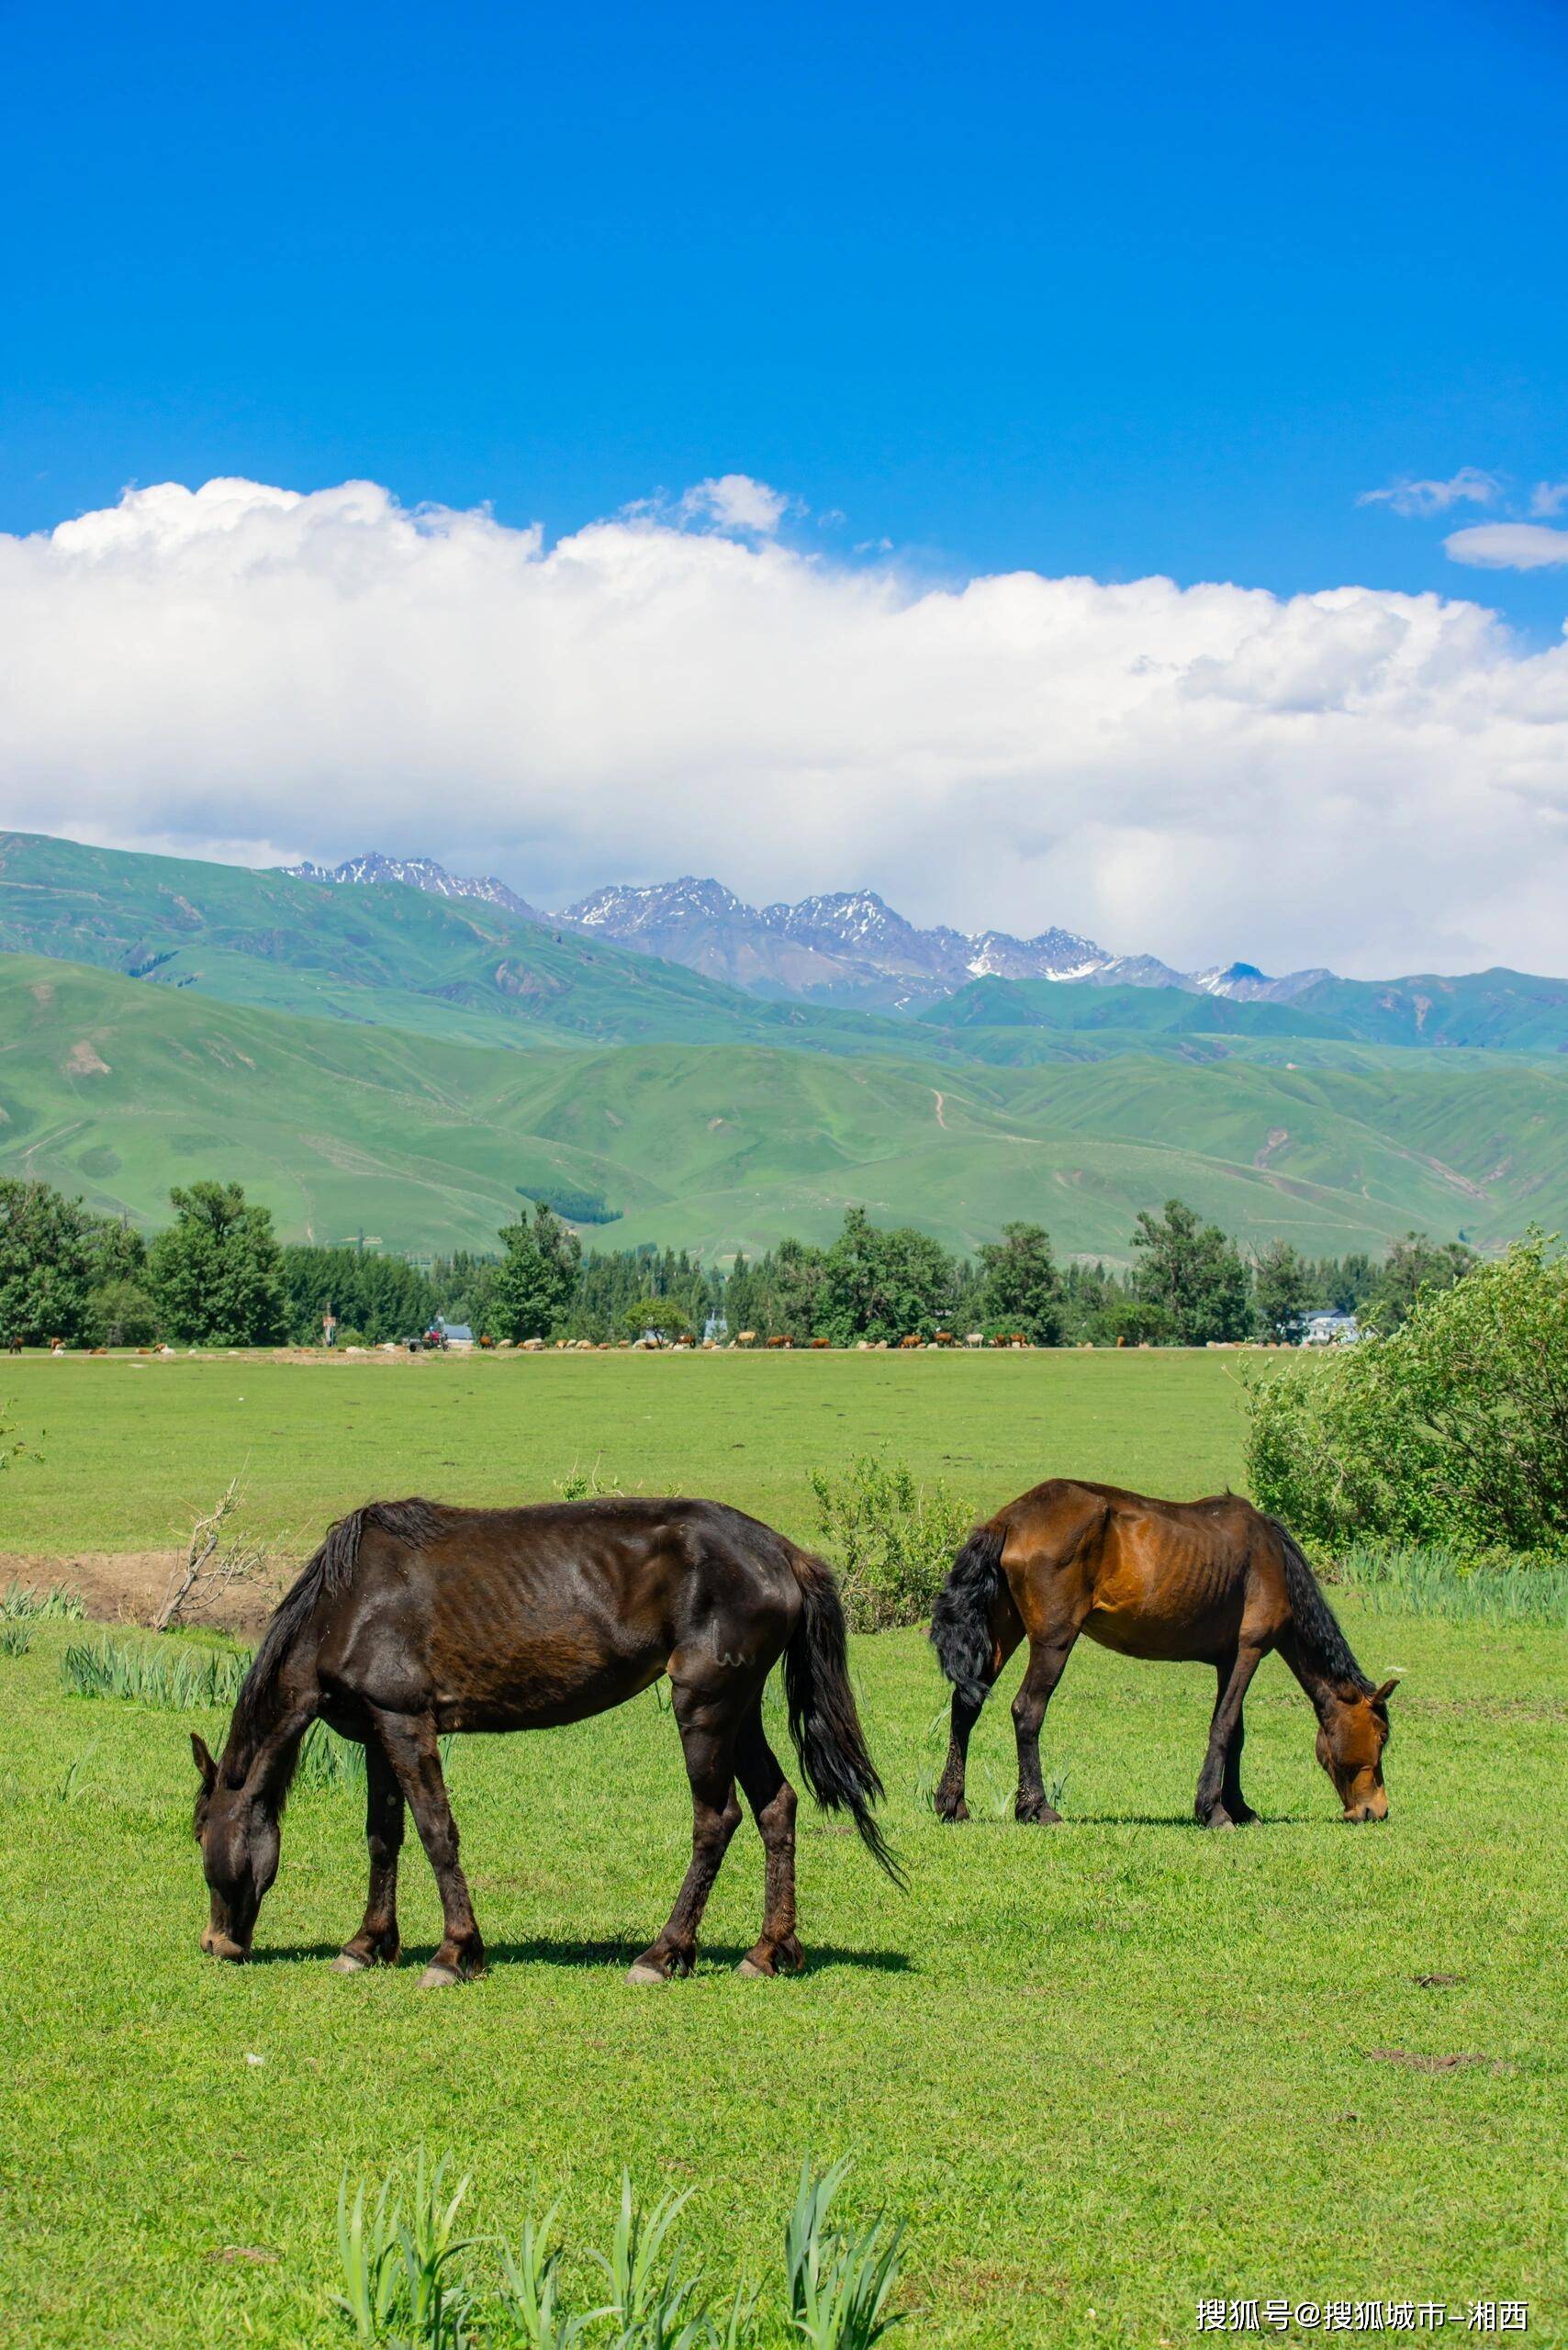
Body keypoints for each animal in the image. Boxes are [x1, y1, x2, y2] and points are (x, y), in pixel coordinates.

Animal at [187, 1484, 893, 1983]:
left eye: (199, 1834)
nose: (216, 1944)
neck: (350, 1601)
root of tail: (783, 1553)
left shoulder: (407, 1724)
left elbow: (436, 1832)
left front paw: (454, 1953)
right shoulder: (379, 1732)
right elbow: (384, 1839)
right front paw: (367, 1945)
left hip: (706, 1706)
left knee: (716, 1820)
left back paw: (663, 1953)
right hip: (740, 1709)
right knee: (777, 1806)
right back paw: (768, 1950)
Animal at [931, 1475, 1401, 1823]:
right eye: (1381, 1735)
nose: (1376, 1811)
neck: (1270, 1558)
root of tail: (1008, 1520)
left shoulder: (1228, 1660)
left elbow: (1236, 1733)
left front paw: (1238, 1806)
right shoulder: (1250, 1651)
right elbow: (1224, 1727)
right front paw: (1214, 1811)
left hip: (1003, 1631)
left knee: (966, 1706)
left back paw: (953, 1803)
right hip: (1053, 1641)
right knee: (1027, 1710)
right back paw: (1037, 1807)